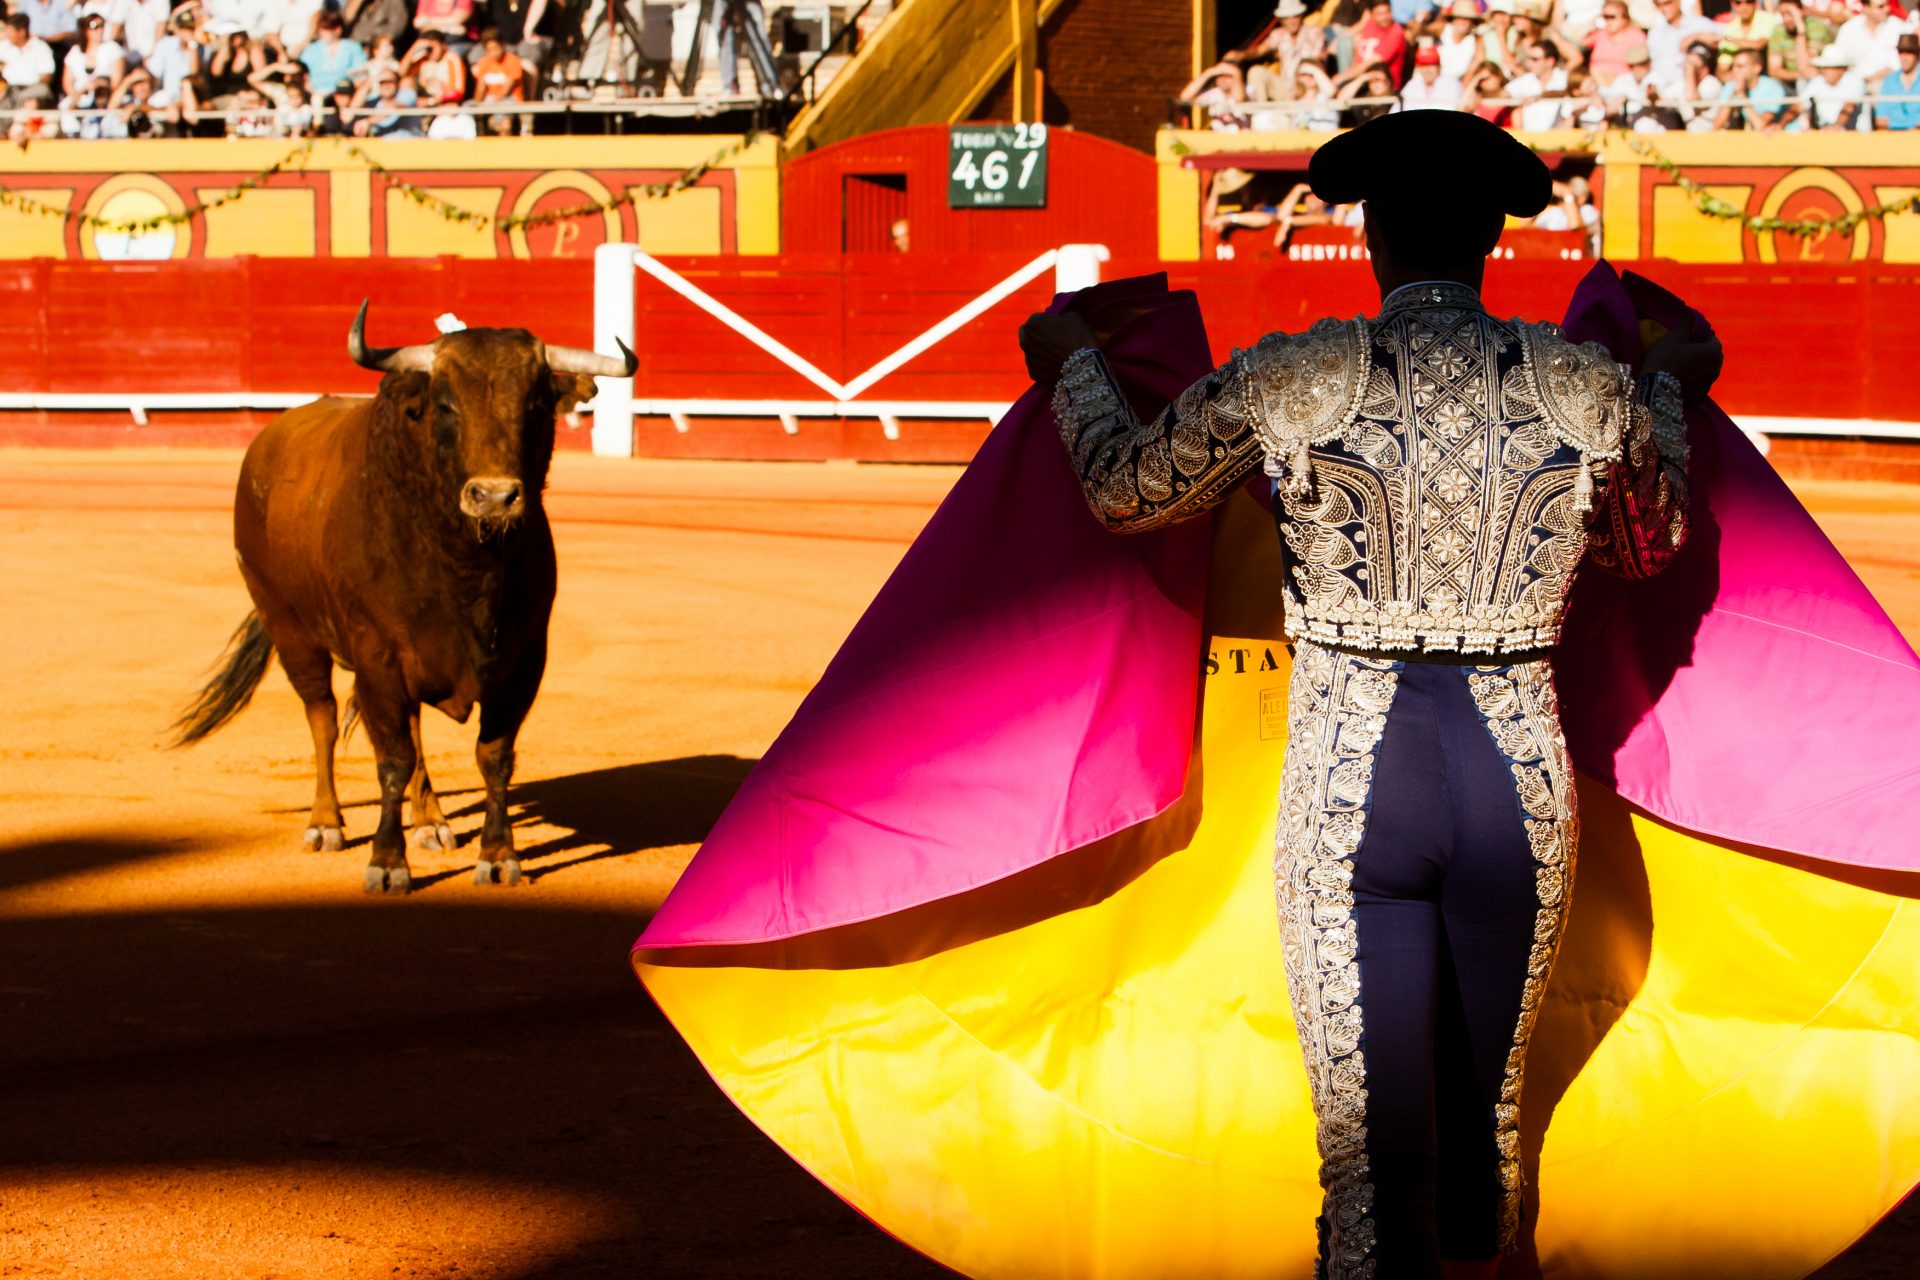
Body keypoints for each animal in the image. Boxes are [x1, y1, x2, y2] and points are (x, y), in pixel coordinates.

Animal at [173, 305, 637, 898]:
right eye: (445, 404)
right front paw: (387, 862)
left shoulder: (525, 658)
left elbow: (494, 756)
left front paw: (498, 855)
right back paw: (326, 823)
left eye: (534, 405)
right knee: (323, 717)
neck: (466, 567)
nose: (494, 497)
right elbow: (391, 758)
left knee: (410, 726)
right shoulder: (377, 656)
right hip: (288, 625)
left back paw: (432, 821)